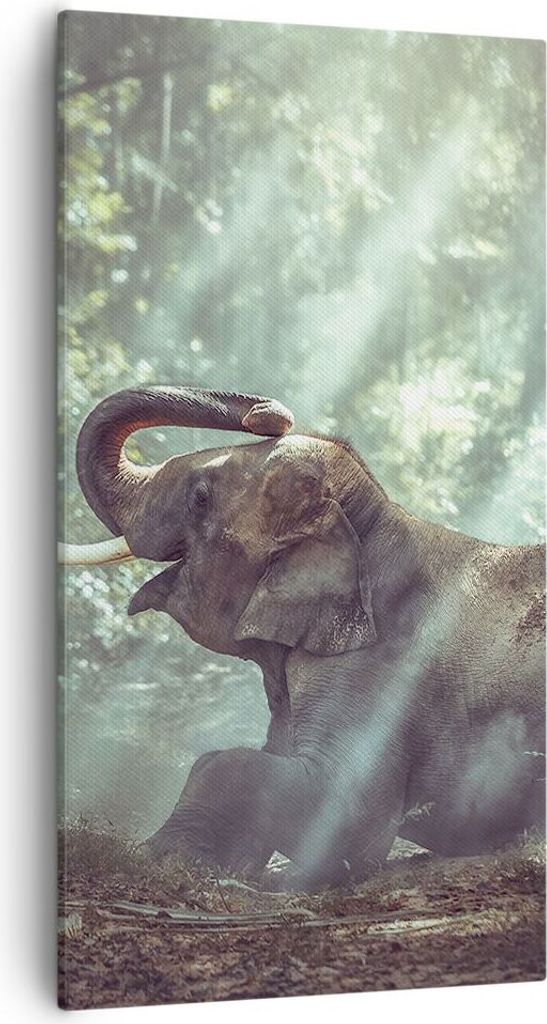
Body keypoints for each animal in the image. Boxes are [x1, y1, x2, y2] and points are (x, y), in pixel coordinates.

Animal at [62, 385, 545, 889]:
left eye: (200, 498)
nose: (267, 414)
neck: (377, 522)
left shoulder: (379, 670)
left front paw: (157, 857)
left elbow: (346, 815)